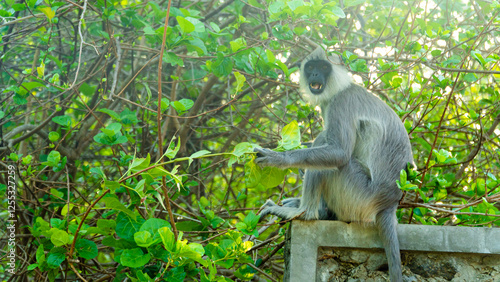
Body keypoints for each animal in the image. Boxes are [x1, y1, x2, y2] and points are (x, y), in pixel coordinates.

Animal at [254, 47, 414, 280]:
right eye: (311, 67)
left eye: (323, 67)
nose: (314, 75)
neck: (341, 87)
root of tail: (390, 203)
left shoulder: (342, 102)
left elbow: (339, 154)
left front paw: (279, 158)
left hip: (358, 195)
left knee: (328, 153)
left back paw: (305, 213)